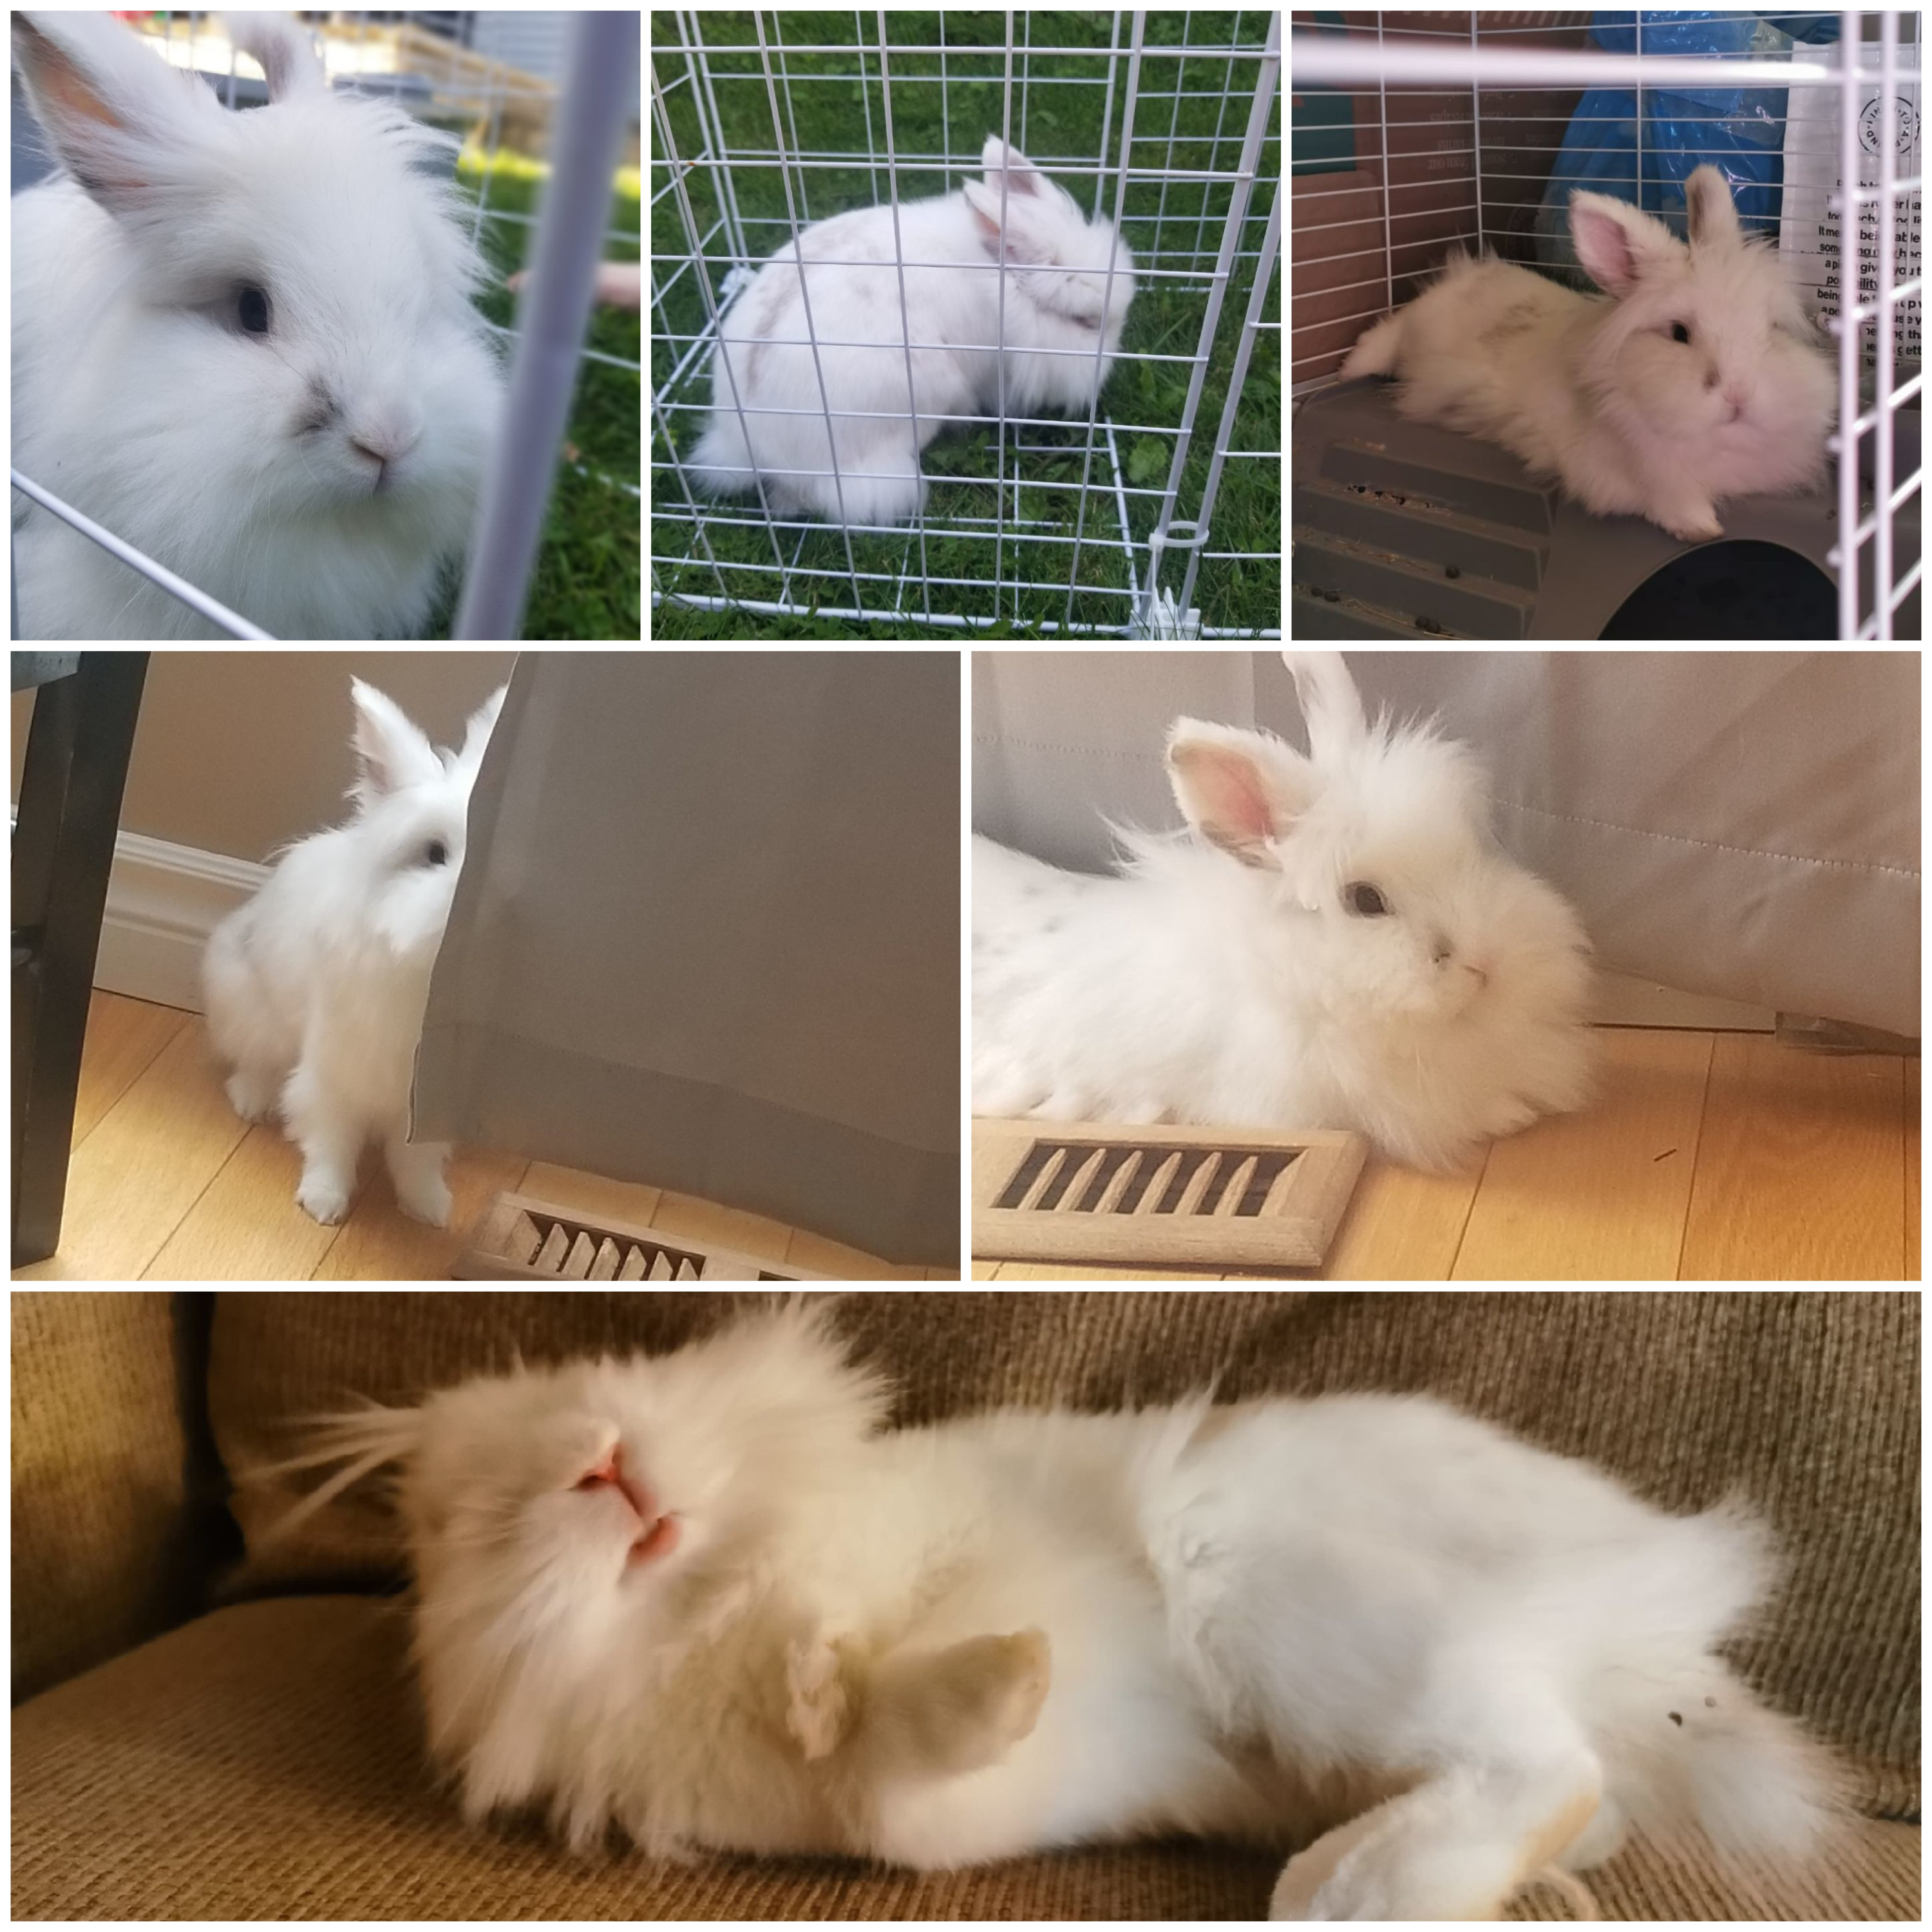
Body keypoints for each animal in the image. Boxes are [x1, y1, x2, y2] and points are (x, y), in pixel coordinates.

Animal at [203, 678, 506, 1227]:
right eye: (434, 854)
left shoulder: (426, 1104)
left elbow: (416, 1160)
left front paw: (430, 1209)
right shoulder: (335, 1068)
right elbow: (330, 1136)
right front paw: (323, 1204)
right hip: (248, 1002)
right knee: (255, 1063)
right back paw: (253, 1102)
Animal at [1339, 164, 1835, 543]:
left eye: (1769, 329)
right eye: (1679, 334)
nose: (1738, 395)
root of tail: (1464, 279)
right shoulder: (1635, 475)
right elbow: (1673, 503)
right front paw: (1702, 530)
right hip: (1417, 333)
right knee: (1387, 334)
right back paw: (1349, 368)